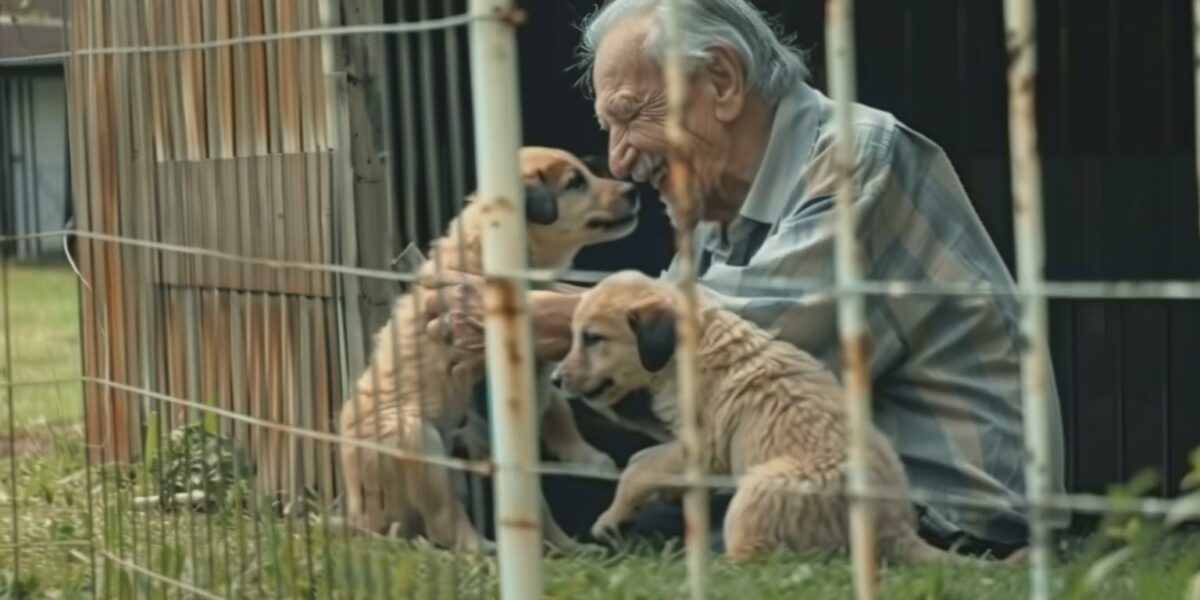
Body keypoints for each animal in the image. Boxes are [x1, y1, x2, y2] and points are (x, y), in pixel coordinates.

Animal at [338, 146, 638, 552]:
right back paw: (479, 548)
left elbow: (559, 410)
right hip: (415, 436)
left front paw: (585, 461)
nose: (633, 190)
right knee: (444, 521)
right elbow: (536, 499)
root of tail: (358, 517)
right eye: (575, 182)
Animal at [552, 270, 1022, 564]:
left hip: (759, 490)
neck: (695, 340)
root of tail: (893, 527)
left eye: (592, 338)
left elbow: (639, 468)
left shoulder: (702, 445)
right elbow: (641, 461)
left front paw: (612, 517)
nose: (555, 379)